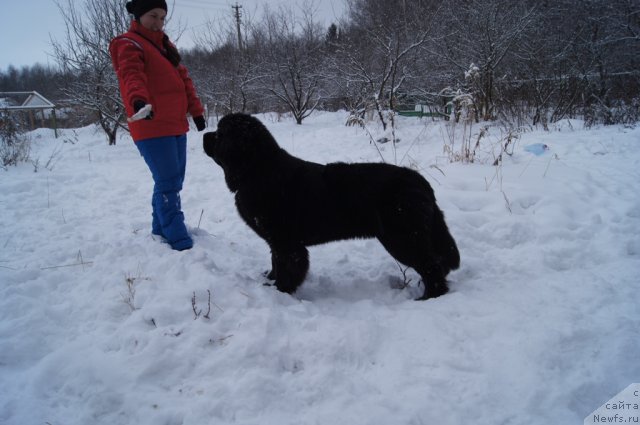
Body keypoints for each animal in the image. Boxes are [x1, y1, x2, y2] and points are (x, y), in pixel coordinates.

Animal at [202, 112, 458, 298]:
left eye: (221, 134)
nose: (204, 134)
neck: (256, 170)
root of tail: (420, 181)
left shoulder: (287, 243)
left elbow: (287, 267)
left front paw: (280, 291)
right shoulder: (276, 242)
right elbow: (275, 262)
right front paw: (270, 279)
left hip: (403, 237)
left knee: (431, 265)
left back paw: (429, 296)